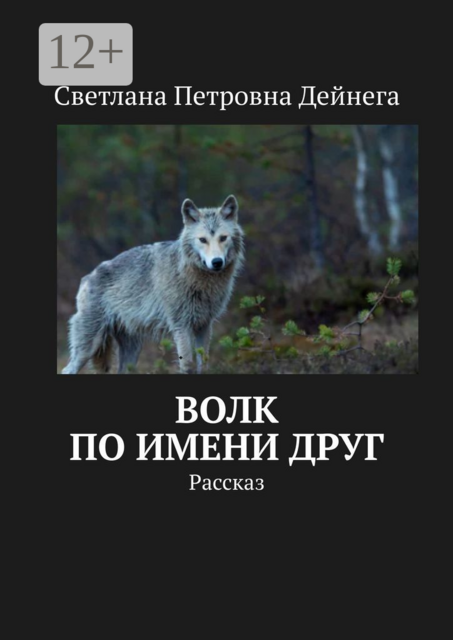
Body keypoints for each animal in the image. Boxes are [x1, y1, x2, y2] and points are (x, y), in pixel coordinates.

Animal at [62, 195, 244, 374]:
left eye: (223, 238)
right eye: (203, 240)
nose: (217, 262)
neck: (197, 279)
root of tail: (87, 277)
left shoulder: (204, 326)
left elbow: (204, 365)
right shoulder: (181, 326)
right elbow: (187, 366)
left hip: (132, 350)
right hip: (89, 347)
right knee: (67, 369)